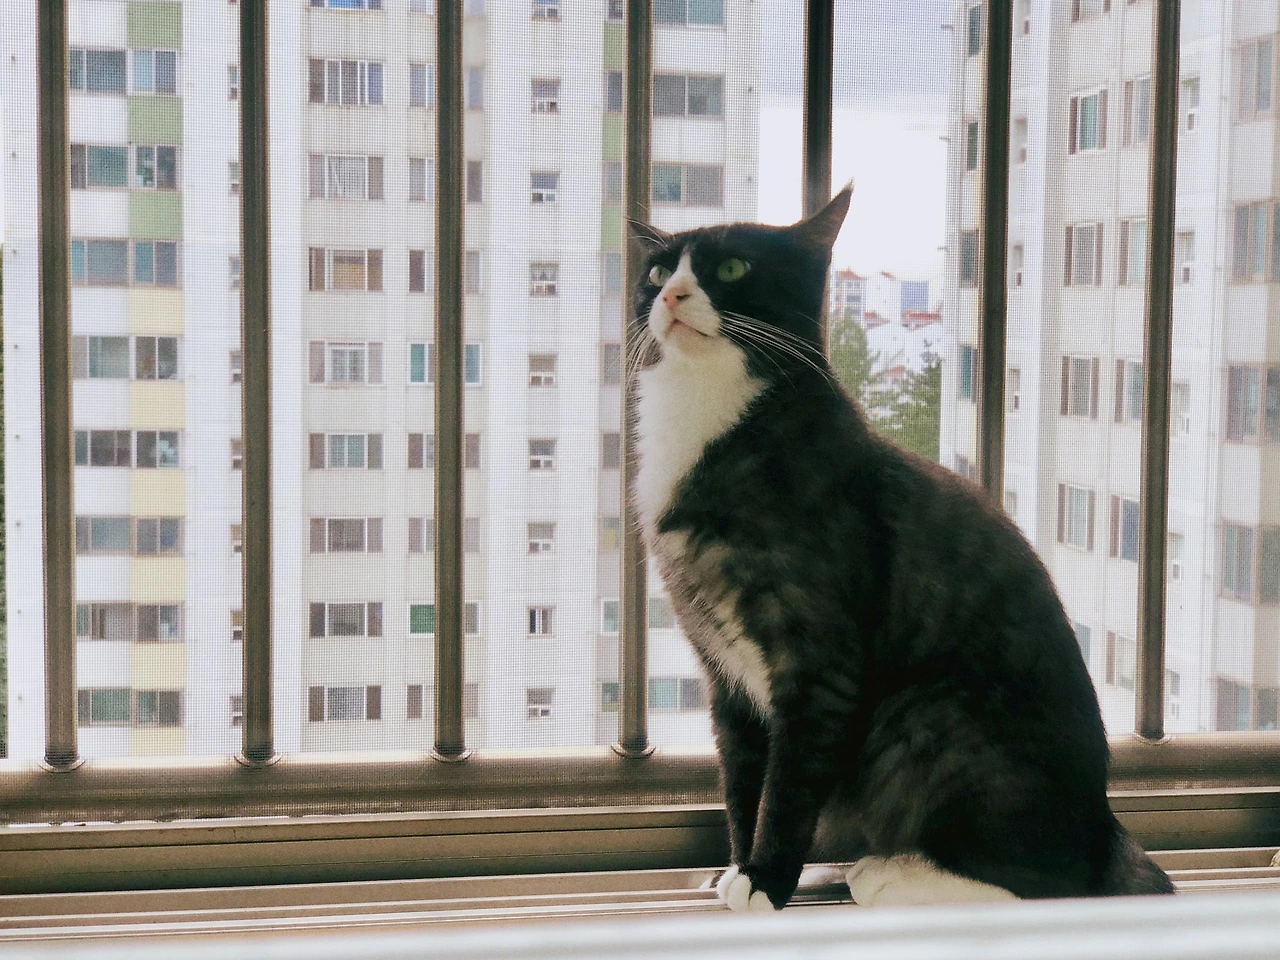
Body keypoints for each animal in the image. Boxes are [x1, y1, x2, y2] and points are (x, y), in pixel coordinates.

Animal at [627, 186, 1174, 912]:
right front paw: (741, 868)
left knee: (1049, 881)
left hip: (927, 710)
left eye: (733, 269)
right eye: (658, 271)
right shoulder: (725, 677)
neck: (712, 423)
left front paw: (768, 879)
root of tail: (1103, 824)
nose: (673, 295)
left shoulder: (819, 662)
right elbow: (743, 778)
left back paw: (894, 871)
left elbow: (789, 783)